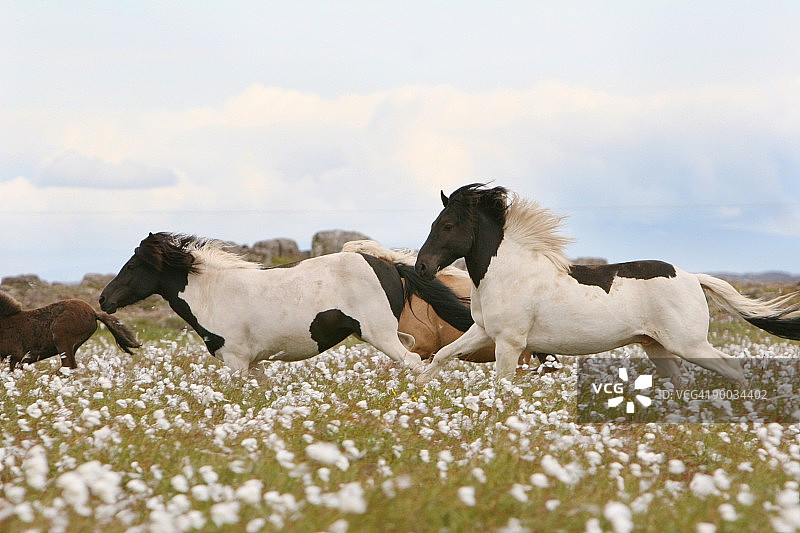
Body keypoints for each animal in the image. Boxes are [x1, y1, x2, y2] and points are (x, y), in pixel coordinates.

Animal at [99, 232, 474, 373]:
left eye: (132, 266)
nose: (104, 299)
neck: (213, 292)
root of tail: (386, 264)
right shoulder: (253, 363)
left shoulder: (235, 360)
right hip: (383, 331)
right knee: (413, 350)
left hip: (378, 333)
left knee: (411, 360)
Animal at [413, 183, 800, 385]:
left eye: (447, 225)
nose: (422, 268)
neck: (508, 271)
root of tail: (692, 277)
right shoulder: (483, 331)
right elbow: (444, 355)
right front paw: (418, 384)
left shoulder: (509, 342)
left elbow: (502, 385)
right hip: (658, 347)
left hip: (689, 344)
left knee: (733, 368)